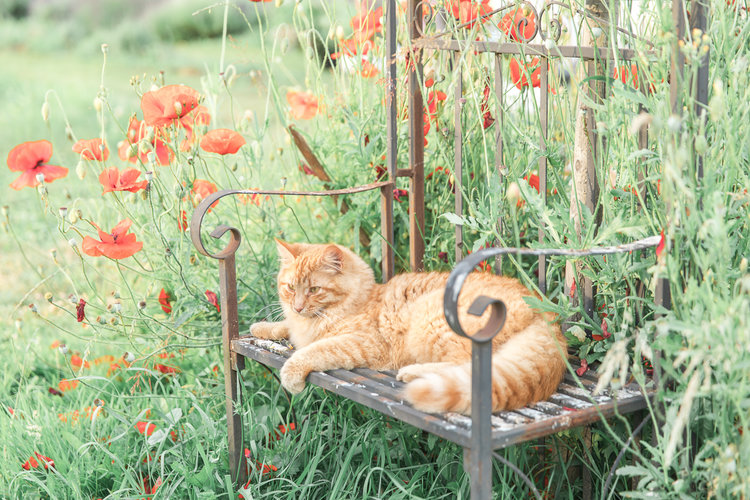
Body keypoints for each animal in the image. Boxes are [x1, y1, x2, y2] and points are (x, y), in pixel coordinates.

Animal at [250, 240, 568, 412]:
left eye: (314, 289)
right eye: (290, 288)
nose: (298, 306)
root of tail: (545, 311)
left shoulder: (362, 343)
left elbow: (314, 350)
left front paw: (291, 374)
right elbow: (286, 330)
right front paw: (262, 327)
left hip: (432, 320)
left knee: (466, 367)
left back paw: (413, 373)